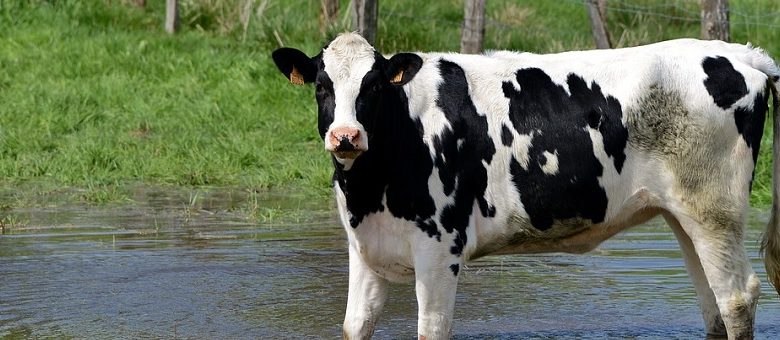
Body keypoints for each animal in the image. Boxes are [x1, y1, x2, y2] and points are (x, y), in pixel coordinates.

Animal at [272, 32, 780, 340]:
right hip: (685, 213)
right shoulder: (364, 248)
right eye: (321, 86)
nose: (346, 136)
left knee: (736, 297)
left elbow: (431, 328)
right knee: (712, 303)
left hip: (715, 209)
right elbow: (355, 325)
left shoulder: (439, 248)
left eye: (374, 86)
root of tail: (739, 54)